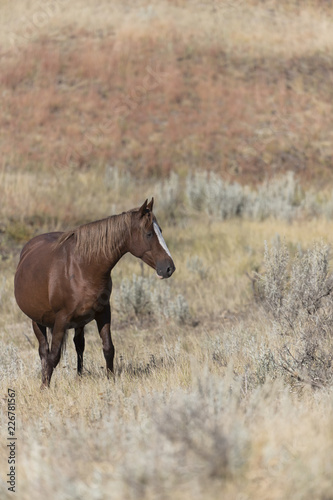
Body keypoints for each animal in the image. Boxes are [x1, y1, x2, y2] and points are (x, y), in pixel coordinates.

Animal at [14, 198, 175, 386]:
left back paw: (79, 377)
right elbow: (53, 356)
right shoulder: (61, 320)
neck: (83, 267)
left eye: (160, 230)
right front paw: (44, 387)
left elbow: (108, 348)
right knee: (43, 351)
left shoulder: (103, 313)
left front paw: (111, 381)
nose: (169, 268)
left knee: (79, 345)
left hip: (79, 322)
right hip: (37, 321)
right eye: (149, 234)